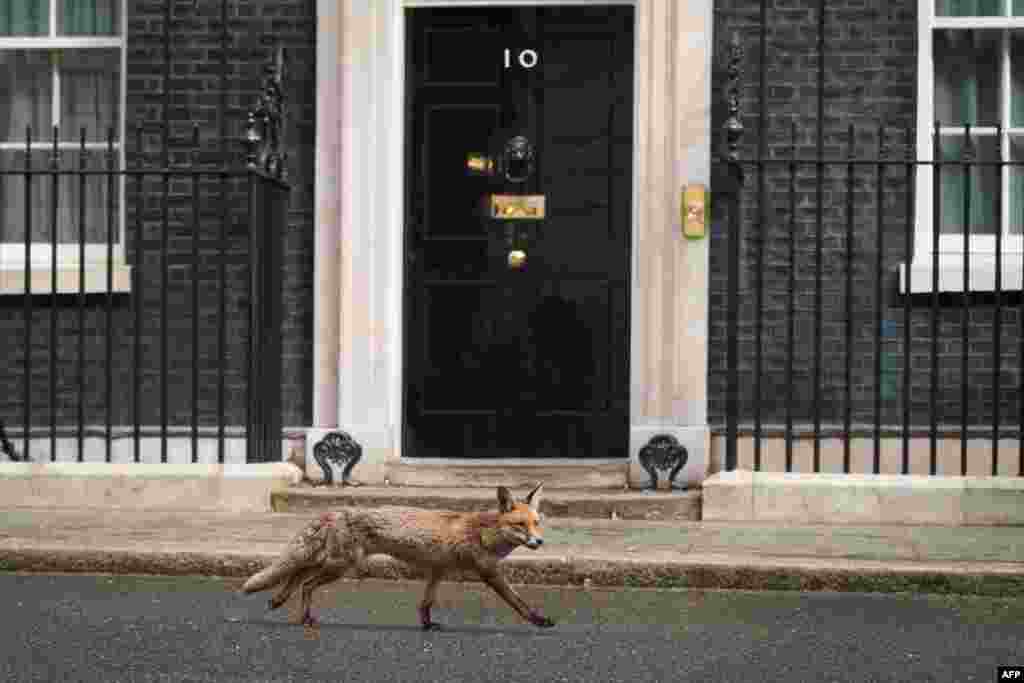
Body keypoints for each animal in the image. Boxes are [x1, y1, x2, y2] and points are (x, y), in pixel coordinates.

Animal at [240, 485, 557, 630]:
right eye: (520, 525)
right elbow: (518, 602)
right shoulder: (488, 573)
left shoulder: (437, 570)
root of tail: (336, 510)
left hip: (332, 562)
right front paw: (539, 620)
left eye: (537, 523)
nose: (540, 542)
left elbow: (426, 602)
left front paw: (427, 625)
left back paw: (279, 600)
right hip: (339, 565)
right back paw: (303, 616)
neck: (483, 533)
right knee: (304, 581)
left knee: (296, 574)